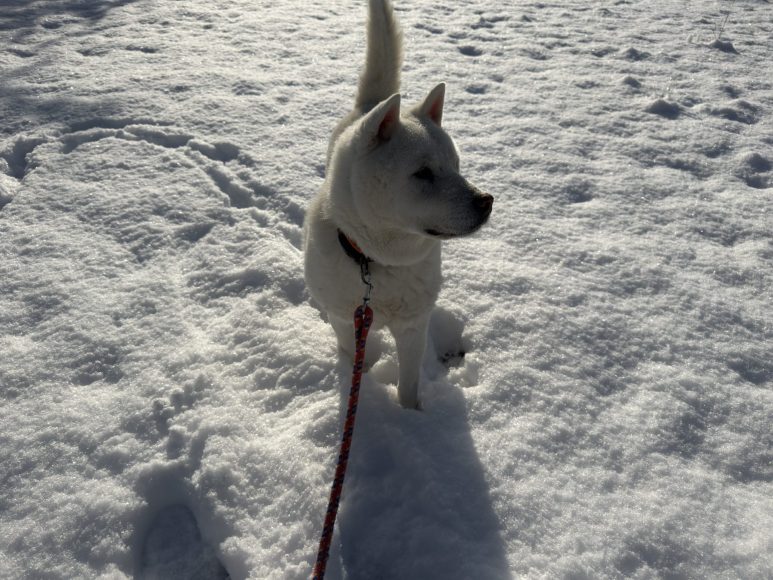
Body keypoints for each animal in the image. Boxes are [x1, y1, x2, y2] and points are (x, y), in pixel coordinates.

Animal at [303, 0, 493, 409]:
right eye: (423, 173)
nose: (486, 202)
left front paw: (410, 416)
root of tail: (372, 104)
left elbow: (408, 383)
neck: (378, 264)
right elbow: (354, 359)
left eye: (456, 165)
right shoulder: (345, 319)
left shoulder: (412, 327)